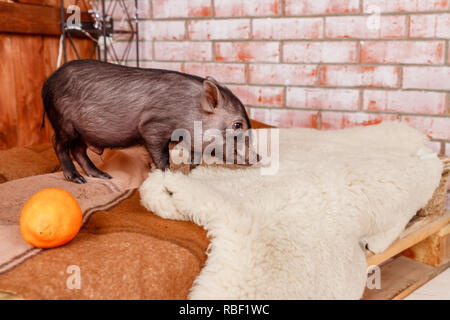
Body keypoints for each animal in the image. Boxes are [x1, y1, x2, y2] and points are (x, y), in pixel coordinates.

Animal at [41, 59, 253, 182]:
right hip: (64, 124)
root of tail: (46, 83)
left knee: (78, 151)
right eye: (237, 125)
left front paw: (192, 173)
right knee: (57, 143)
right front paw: (167, 174)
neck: (189, 110)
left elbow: (195, 158)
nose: (257, 157)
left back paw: (103, 176)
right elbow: (161, 155)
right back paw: (76, 179)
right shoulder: (152, 127)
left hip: (83, 133)